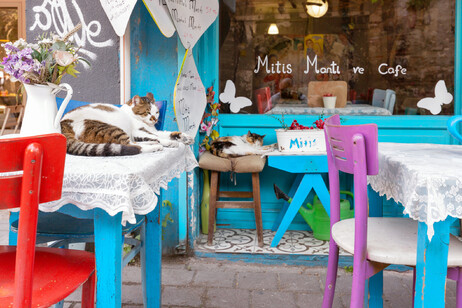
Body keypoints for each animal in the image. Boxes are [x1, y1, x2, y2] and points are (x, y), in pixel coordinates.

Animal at [60, 92, 194, 156]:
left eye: (156, 112)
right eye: (147, 112)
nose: (155, 119)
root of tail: (63, 123)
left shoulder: (153, 131)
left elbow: (167, 134)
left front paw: (184, 137)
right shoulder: (138, 131)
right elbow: (159, 137)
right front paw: (170, 142)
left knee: (132, 144)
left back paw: (153, 144)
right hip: (111, 129)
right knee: (130, 145)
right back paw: (155, 146)